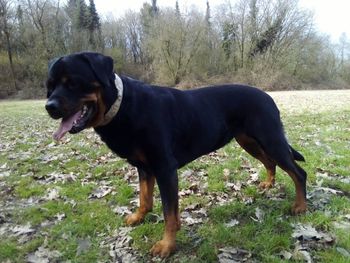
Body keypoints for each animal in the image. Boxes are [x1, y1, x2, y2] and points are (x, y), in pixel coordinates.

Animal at [45, 52, 308, 258]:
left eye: (73, 83)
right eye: (50, 86)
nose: (49, 106)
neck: (123, 107)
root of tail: (269, 97)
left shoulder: (164, 168)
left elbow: (168, 212)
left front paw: (167, 246)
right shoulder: (144, 167)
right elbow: (145, 198)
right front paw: (139, 217)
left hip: (270, 139)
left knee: (298, 172)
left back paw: (300, 206)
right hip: (249, 141)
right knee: (271, 162)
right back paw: (268, 184)